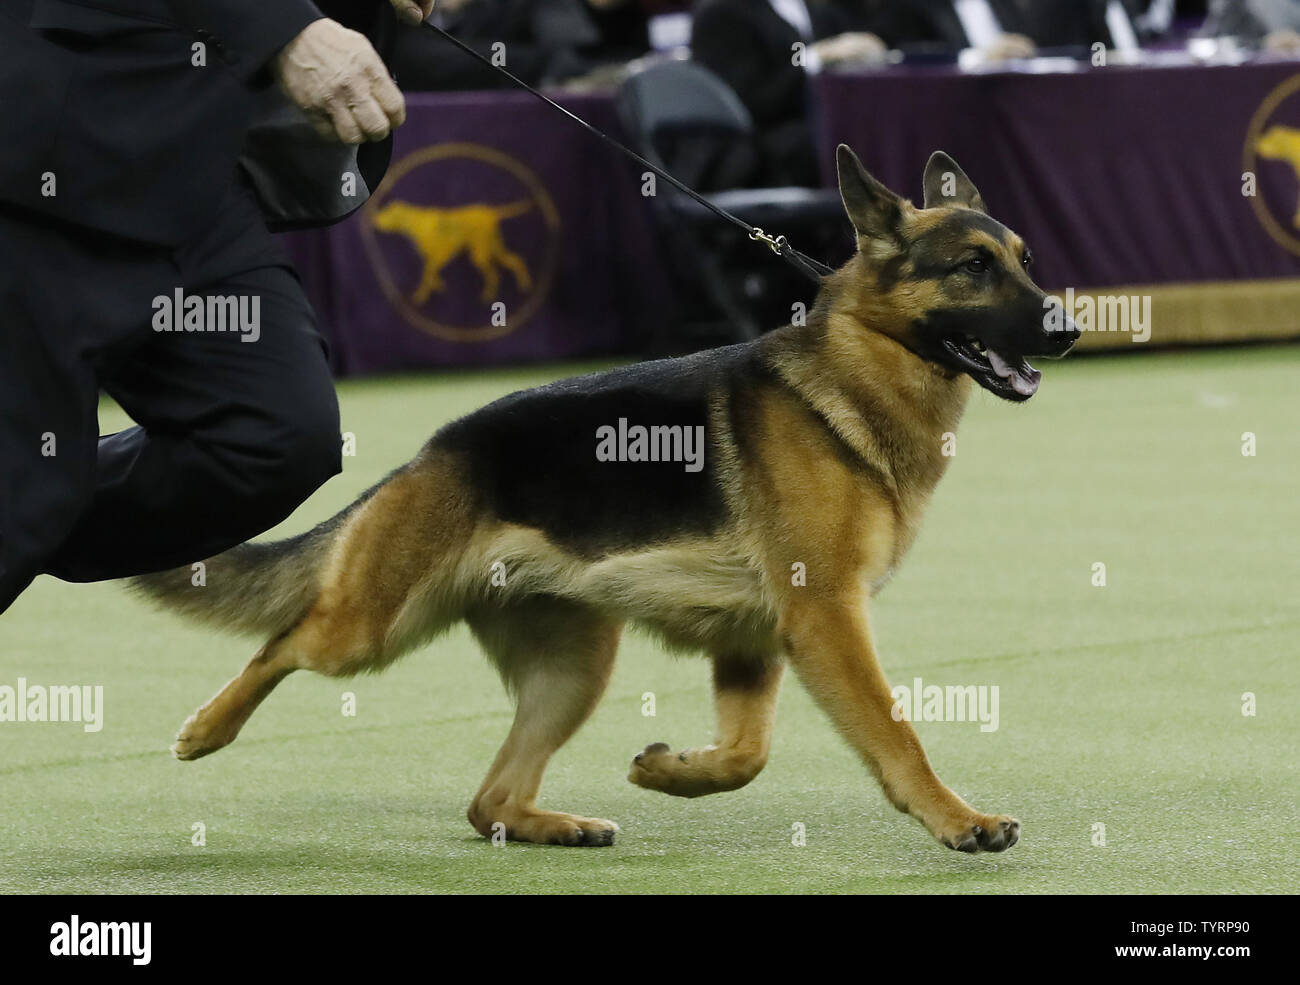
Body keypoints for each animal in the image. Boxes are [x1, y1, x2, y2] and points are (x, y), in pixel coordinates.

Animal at [137, 146, 1081, 847]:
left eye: (1025, 263)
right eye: (972, 267)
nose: (1070, 328)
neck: (855, 372)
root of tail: (432, 451)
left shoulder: (756, 639)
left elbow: (747, 753)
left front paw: (668, 771)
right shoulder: (825, 617)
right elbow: (895, 732)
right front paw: (959, 819)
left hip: (574, 669)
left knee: (487, 801)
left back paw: (555, 824)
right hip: (367, 630)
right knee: (283, 643)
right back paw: (205, 728)